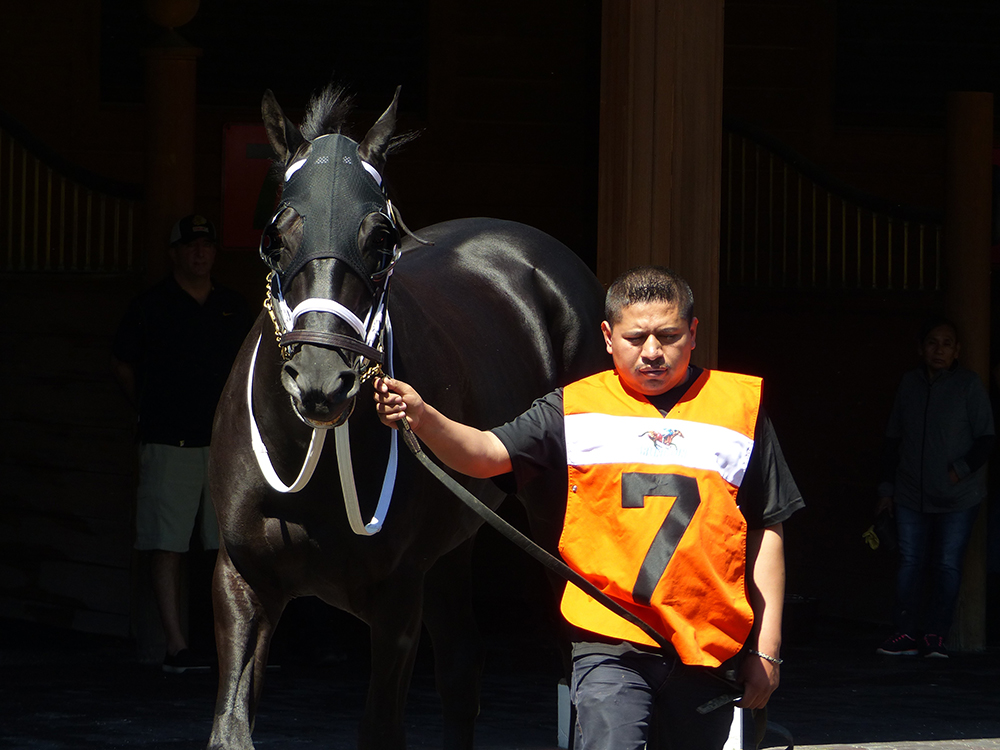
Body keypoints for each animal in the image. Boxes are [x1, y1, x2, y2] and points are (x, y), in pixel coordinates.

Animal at [207, 86, 604, 750]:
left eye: (382, 239)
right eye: (275, 236)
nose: (321, 381)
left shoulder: (397, 602)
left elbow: (381, 728)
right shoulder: (244, 581)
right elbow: (231, 728)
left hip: (549, 530)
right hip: (453, 545)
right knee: (464, 670)